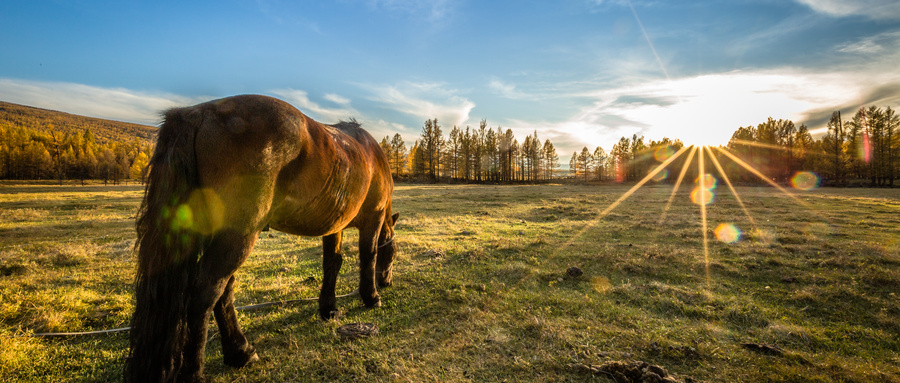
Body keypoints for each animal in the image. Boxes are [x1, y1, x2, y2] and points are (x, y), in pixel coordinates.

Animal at [125, 94, 398, 382]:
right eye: (394, 253)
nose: (386, 281)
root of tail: (199, 113)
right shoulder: (373, 218)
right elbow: (368, 256)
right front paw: (371, 297)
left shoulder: (334, 225)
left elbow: (332, 264)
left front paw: (328, 309)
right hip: (239, 236)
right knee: (206, 291)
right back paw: (196, 372)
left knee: (223, 290)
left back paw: (240, 352)